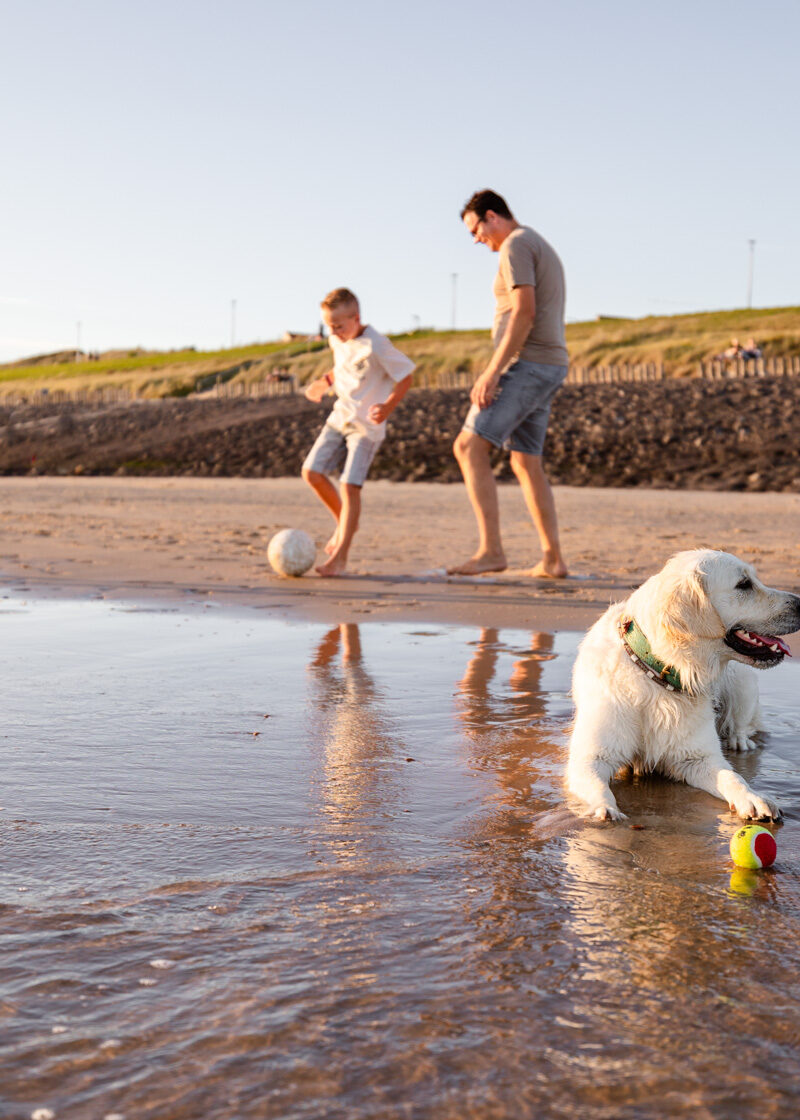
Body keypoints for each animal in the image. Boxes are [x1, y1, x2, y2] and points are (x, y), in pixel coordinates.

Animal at [566, 551, 797, 824]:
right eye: (744, 584)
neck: (658, 674)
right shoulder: (591, 756)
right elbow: (597, 785)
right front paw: (605, 809)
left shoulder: (698, 757)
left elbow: (733, 777)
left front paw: (754, 798)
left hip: (743, 681)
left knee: (741, 722)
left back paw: (739, 740)